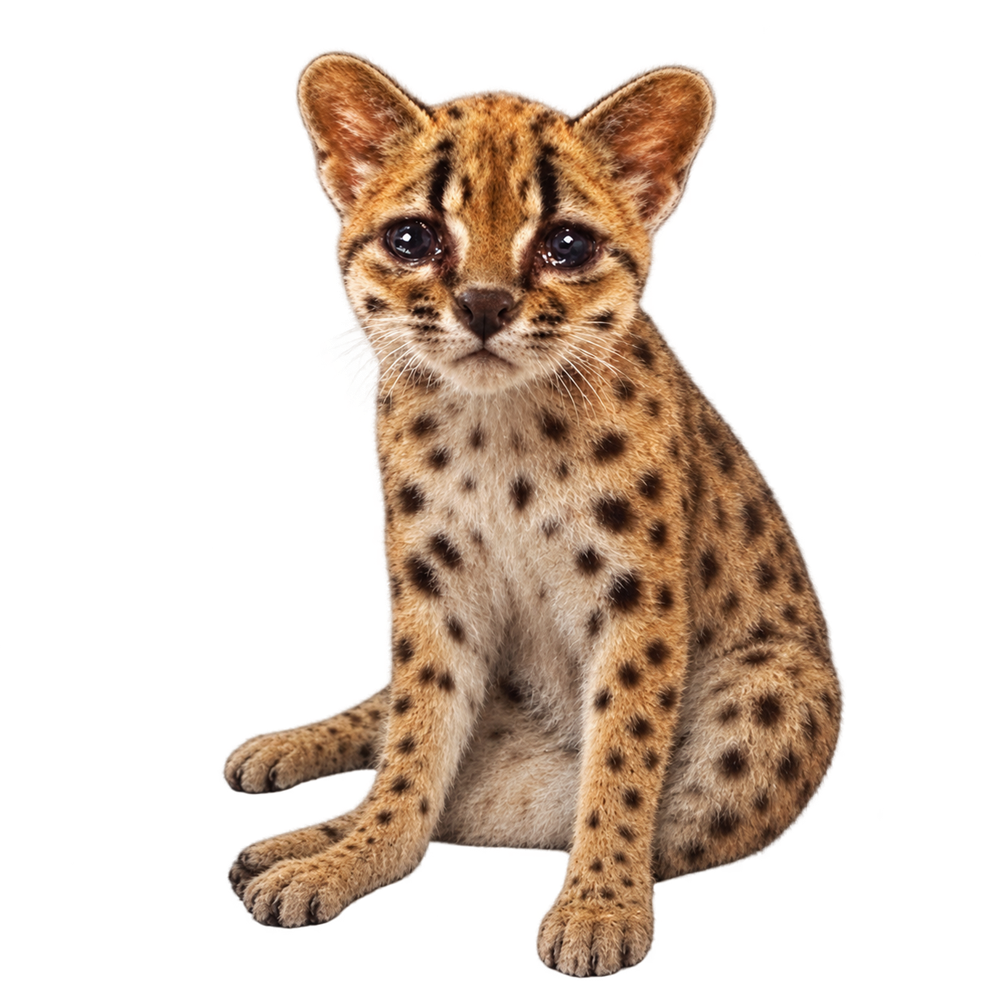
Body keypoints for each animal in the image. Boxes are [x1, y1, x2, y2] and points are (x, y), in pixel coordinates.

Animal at [223, 48, 845, 979]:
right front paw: (357, 855)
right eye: (413, 238)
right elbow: (413, 750)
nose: (483, 306)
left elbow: (623, 756)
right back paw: (297, 798)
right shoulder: (433, 590)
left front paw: (601, 903)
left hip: (778, 683)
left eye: (566, 244)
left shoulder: (637, 604)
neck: (498, 432)